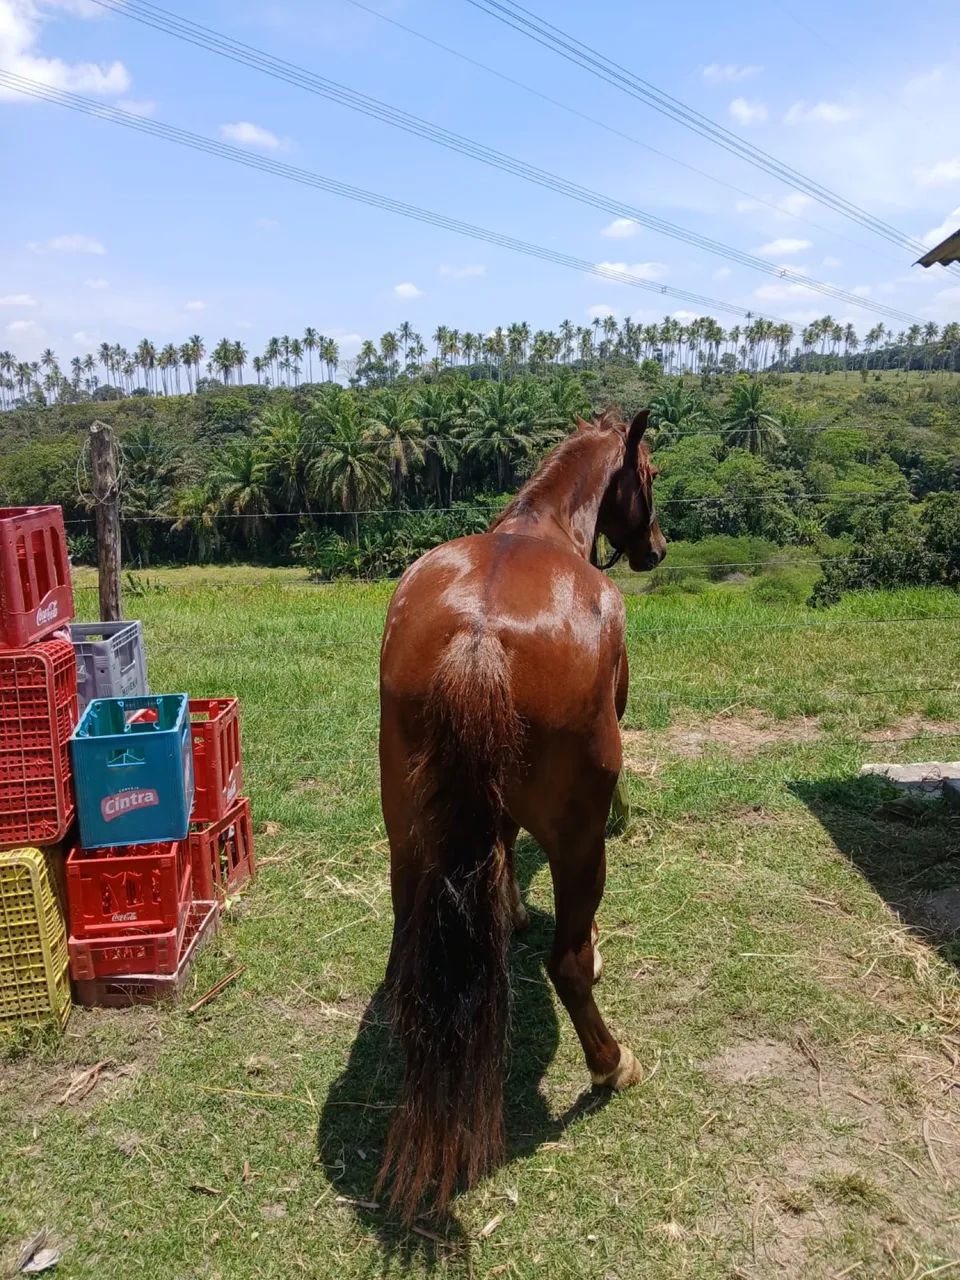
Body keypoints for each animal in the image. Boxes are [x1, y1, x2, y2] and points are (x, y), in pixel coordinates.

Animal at [376, 406, 666, 1220]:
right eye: (651, 474)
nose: (658, 548)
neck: (541, 528)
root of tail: (479, 636)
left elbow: (499, 850)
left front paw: (507, 909)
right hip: (579, 841)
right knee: (565, 965)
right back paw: (611, 1062)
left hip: (409, 833)